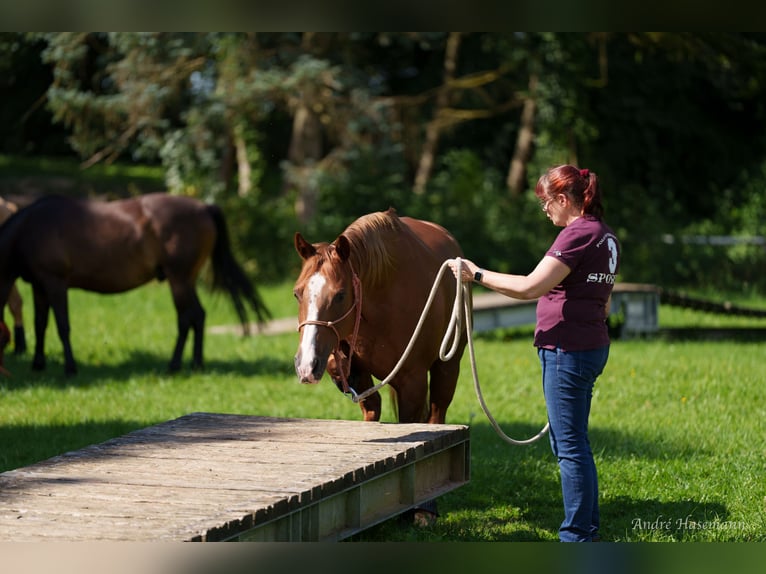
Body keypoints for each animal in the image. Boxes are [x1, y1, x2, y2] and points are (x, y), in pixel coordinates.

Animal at [0, 192, 272, 378]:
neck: (29, 229)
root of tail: (204, 207)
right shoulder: (39, 285)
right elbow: (40, 324)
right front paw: (38, 364)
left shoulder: (55, 283)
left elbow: (62, 326)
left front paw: (70, 367)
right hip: (187, 280)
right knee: (198, 316)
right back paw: (196, 364)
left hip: (178, 279)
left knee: (187, 317)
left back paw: (175, 365)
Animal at [294, 209, 468, 426]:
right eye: (297, 293)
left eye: (340, 295)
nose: (306, 364)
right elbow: (370, 405)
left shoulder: (414, 384)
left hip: (448, 368)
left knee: (437, 412)